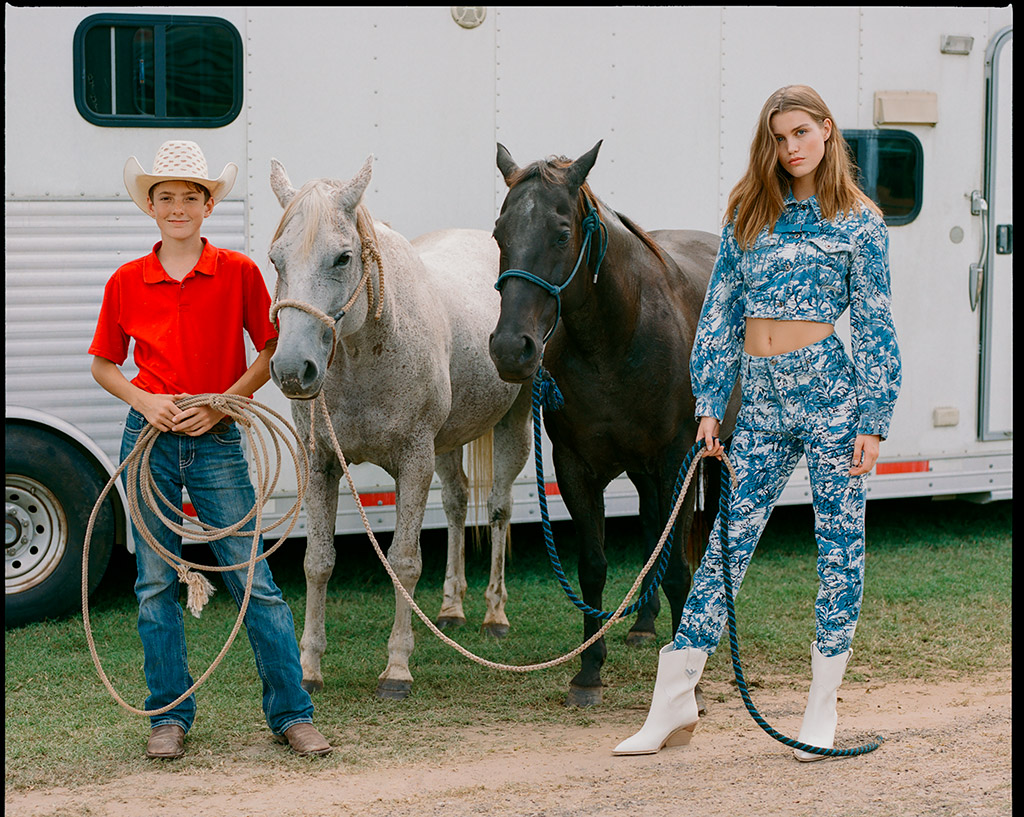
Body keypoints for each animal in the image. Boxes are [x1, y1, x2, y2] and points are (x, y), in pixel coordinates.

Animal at [268, 158, 532, 696]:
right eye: (276, 259)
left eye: (343, 258)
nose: (291, 370)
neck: (364, 355)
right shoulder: (322, 463)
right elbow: (317, 562)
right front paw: (309, 669)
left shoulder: (413, 460)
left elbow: (405, 561)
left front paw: (397, 668)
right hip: (448, 443)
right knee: (456, 504)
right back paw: (452, 609)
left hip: (513, 426)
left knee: (498, 508)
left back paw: (494, 615)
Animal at [487, 139, 737, 704]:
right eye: (499, 233)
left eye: (562, 234)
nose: (512, 348)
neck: (617, 340)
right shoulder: (575, 467)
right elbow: (594, 567)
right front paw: (588, 670)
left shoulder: (677, 460)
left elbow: (679, 567)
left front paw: (684, 681)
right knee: (650, 529)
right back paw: (643, 625)